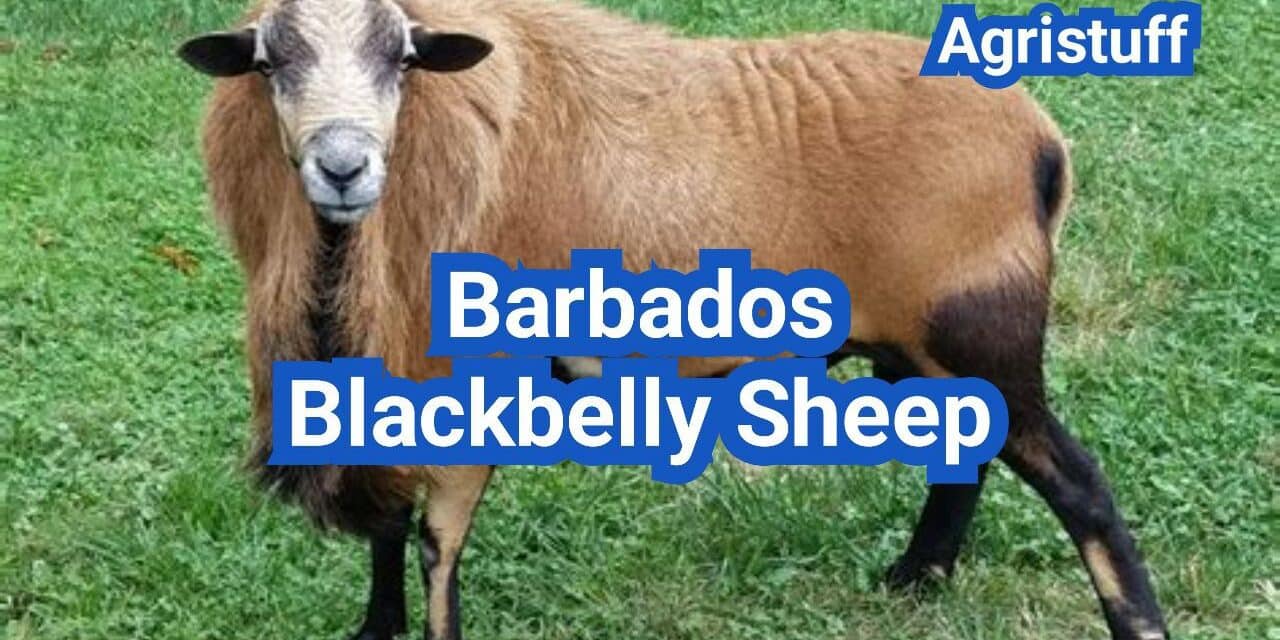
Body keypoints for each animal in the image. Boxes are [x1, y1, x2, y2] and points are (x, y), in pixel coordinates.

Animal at [177, 0, 1168, 638]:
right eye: (270, 62)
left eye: (403, 57)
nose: (343, 167)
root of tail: (1041, 143)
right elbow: (389, 527)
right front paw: (372, 630)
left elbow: (435, 541)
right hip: (922, 349)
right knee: (966, 456)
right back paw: (914, 581)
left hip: (979, 329)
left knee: (1079, 485)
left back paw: (1136, 623)